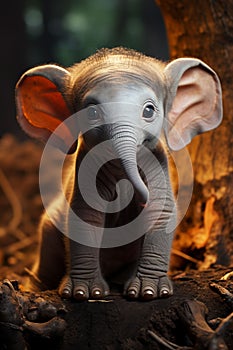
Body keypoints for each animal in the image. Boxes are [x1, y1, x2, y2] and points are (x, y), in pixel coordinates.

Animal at [15, 47, 222, 300]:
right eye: (92, 112)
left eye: (149, 110)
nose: (140, 198)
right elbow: (86, 214)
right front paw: (86, 293)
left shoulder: (158, 161)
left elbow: (162, 212)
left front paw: (149, 292)